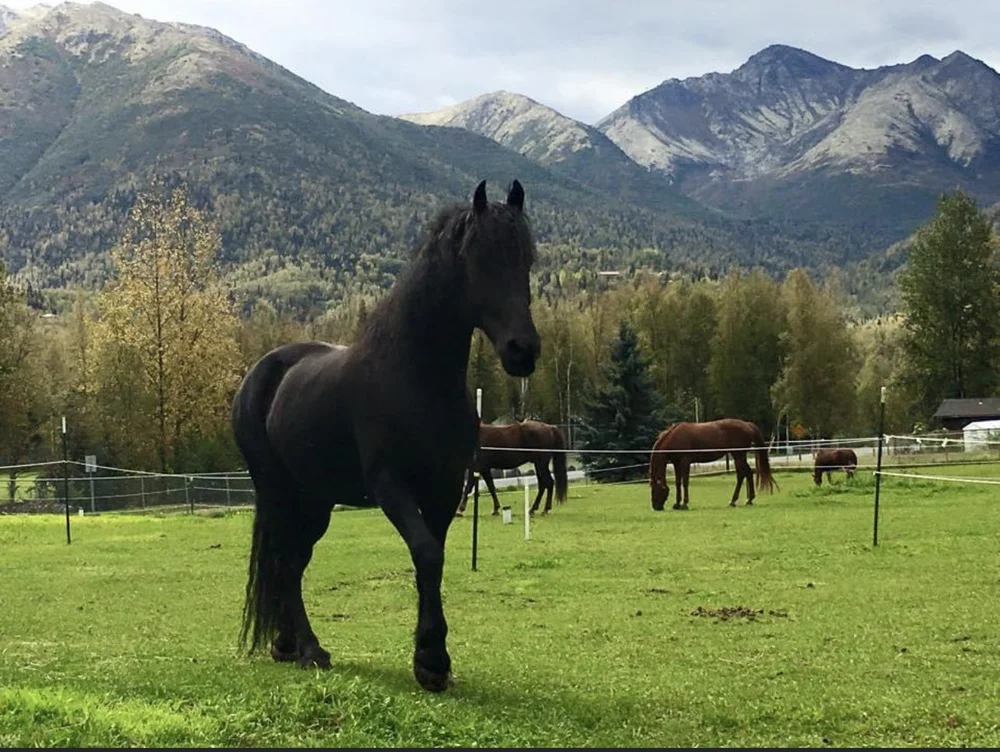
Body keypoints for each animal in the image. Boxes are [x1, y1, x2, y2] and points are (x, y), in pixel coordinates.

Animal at [231, 179, 540, 693]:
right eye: (480, 257)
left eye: (527, 258)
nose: (523, 350)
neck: (415, 376)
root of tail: (260, 375)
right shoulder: (390, 484)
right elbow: (425, 553)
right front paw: (431, 660)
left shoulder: (443, 487)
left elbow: (433, 558)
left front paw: (435, 660)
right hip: (277, 493)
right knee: (285, 561)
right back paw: (310, 650)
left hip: (315, 501)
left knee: (294, 561)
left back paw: (287, 644)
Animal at [648, 418, 778, 511]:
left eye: (655, 490)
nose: (656, 507)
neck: (675, 437)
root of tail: (747, 425)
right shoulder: (677, 463)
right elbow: (677, 482)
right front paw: (677, 504)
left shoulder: (685, 462)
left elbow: (685, 482)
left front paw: (684, 504)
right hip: (739, 456)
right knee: (748, 473)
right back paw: (748, 500)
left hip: (738, 455)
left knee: (742, 474)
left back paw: (735, 501)